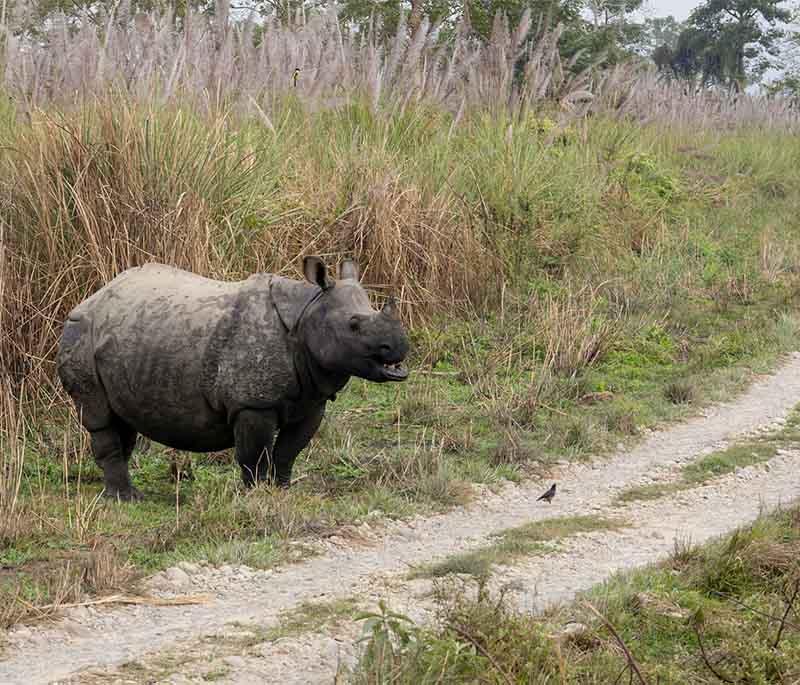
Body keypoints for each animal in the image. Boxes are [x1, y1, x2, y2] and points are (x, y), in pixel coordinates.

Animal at [56, 255, 410, 496]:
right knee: (100, 416)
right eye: (354, 325)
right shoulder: (253, 403)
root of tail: (93, 295)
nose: (400, 346)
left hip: (129, 334)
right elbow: (254, 455)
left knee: (122, 419)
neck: (309, 309)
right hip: (80, 331)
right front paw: (256, 495)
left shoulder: (312, 400)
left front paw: (283, 491)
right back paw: (126, 499)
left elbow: (288, 451)